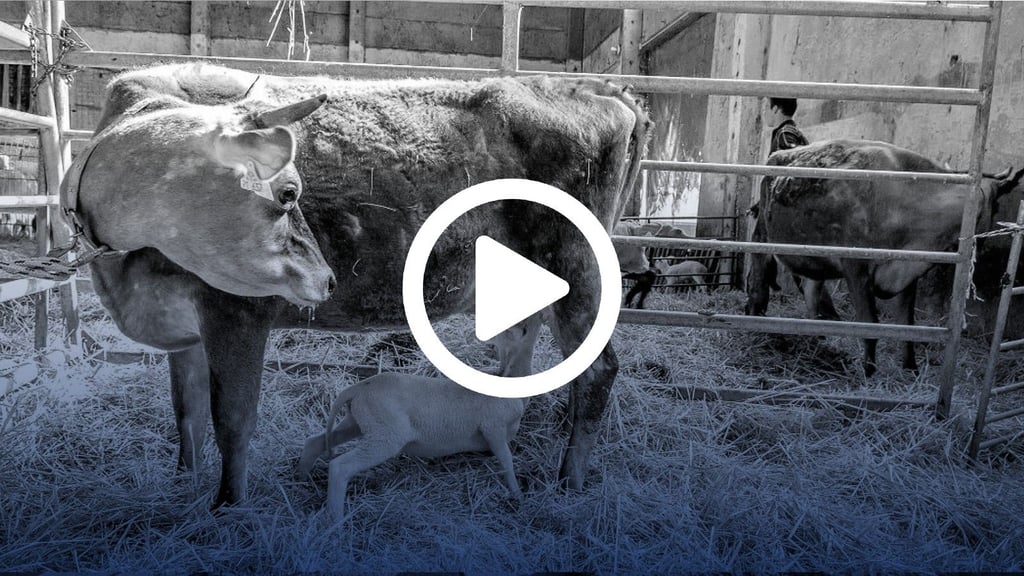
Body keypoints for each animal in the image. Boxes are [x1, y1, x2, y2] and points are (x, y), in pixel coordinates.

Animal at [67, 63, 649, 508]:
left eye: (291, 191)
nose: (324, 278)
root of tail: (597, 89)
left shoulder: (235, 311)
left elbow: (232, 418)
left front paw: (227, 508)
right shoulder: (181, 326)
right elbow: (185, 413)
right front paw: (184, 484)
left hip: (578, 269)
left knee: (597, 370)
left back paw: (569, 481)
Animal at [746, 139, 1023, 376]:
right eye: (995, 206)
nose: (982, 244)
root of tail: (778, 154)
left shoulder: (908, 269)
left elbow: (906, 324)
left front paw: (911, 369)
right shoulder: (856, 269)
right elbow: (870, 325)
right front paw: (869, 372)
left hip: (817, 259)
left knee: (812, 293)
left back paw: (819, 341)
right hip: (763, 236)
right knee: (759, 276)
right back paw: (755, 317)